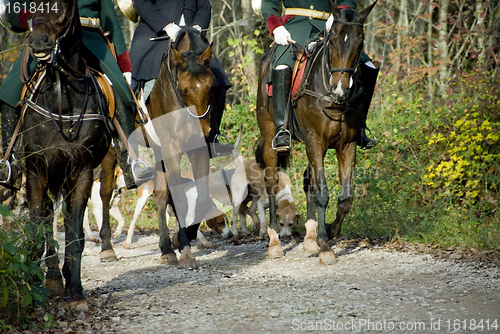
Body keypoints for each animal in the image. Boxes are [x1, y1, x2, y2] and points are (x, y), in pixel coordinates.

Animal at [20, 0, 112, 310]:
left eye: (62, 8)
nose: (38, 42)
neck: (62, 100)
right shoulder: (36, 170)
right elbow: (38, 230)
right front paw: (36, 286)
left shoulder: (81, 170)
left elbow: (74, 232)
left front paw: (76, 290)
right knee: (48, 218)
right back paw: (50, 278)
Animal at [144, 28, 216, 268]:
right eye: (183, 90)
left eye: (211, 86)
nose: (204, 130)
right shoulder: (171, 149)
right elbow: (180, 200)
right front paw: (185, 252)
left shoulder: (199, 150)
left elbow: (202, 198)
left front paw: (182, 238)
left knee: (161, 196)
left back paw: (168, 246)